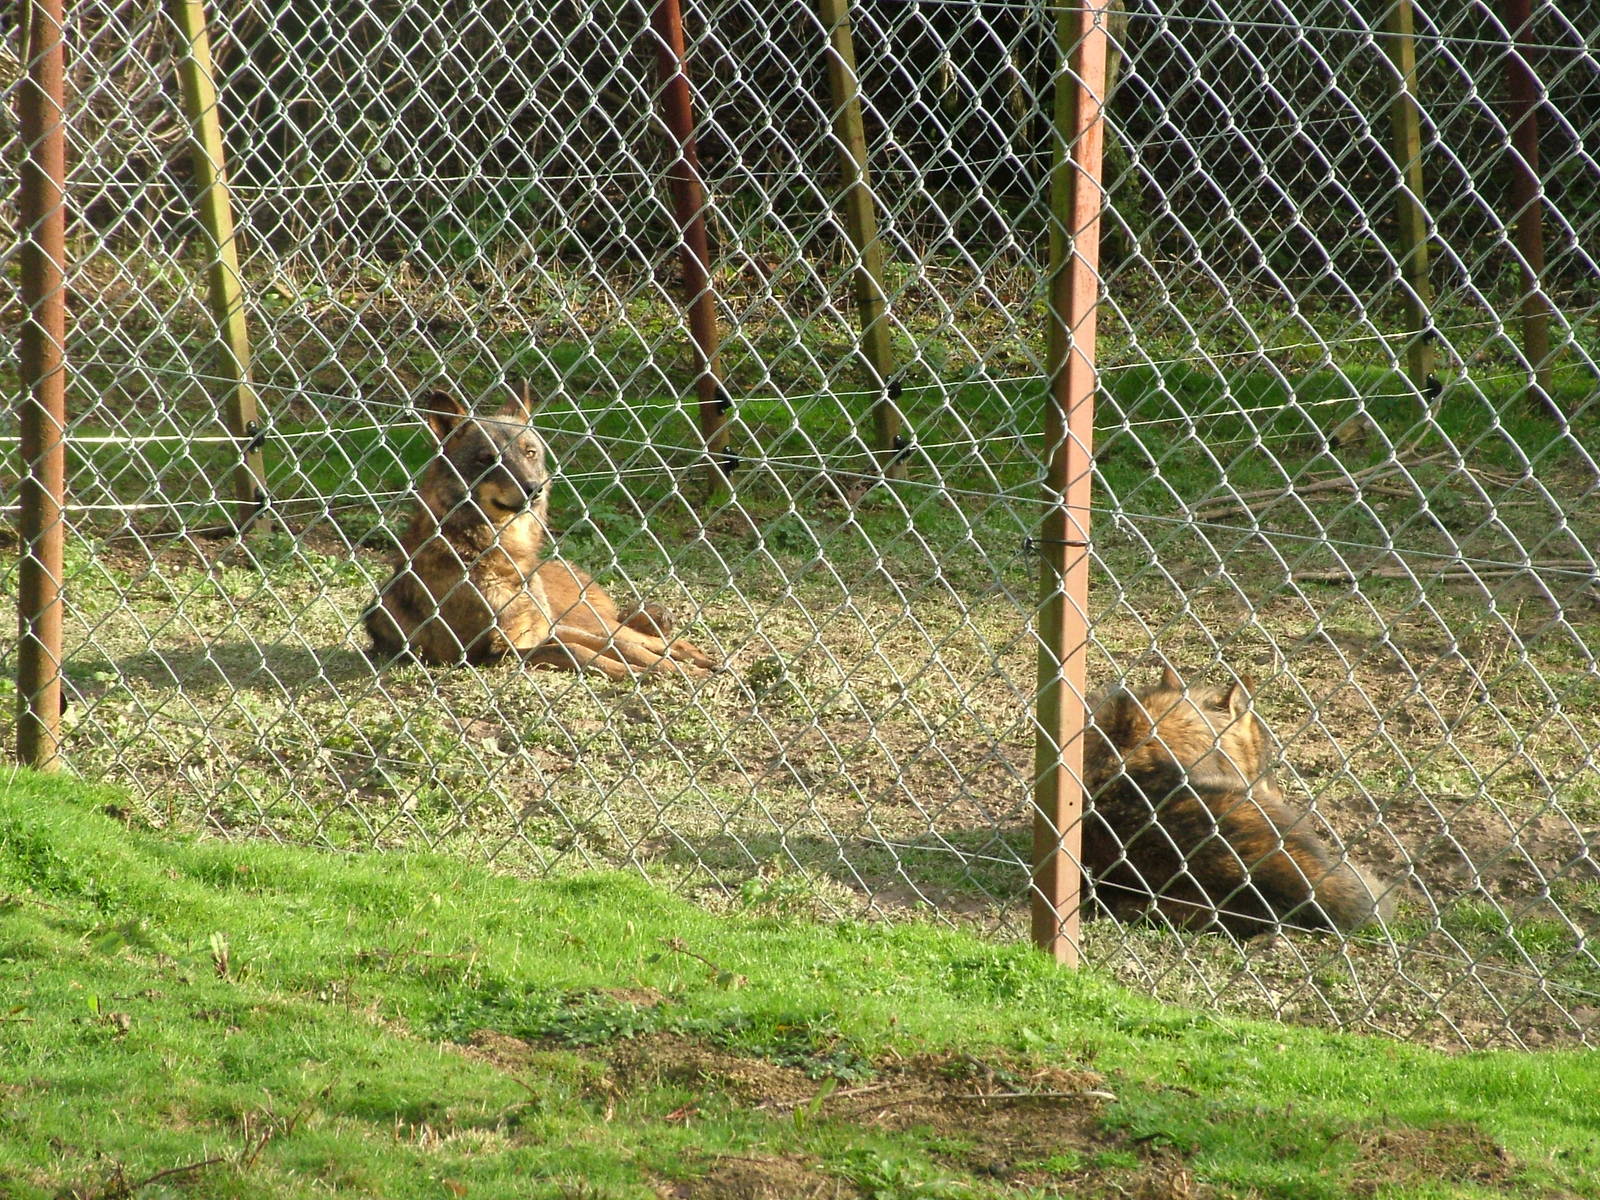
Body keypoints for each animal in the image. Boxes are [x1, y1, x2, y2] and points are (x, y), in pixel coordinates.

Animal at [364, 387, 718, 680]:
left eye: (529, 452)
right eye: (487, 459)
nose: (534, 488)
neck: (500, 554)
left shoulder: (546, 629)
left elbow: (616, 647)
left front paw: (666, 667)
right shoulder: (494, 652)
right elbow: (578, 651)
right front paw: (638, 671)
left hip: (582, 619)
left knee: (643, 638)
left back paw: (699, 659)